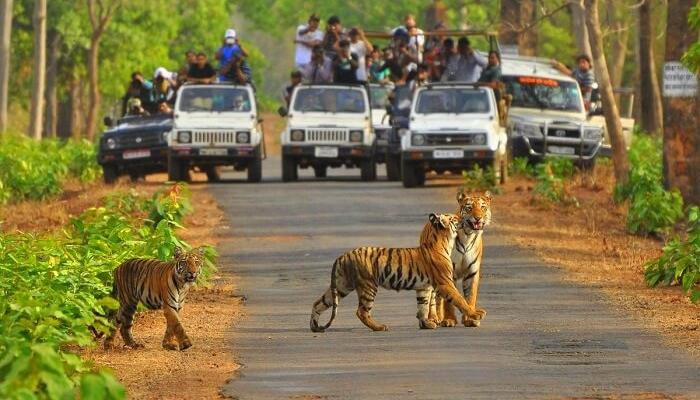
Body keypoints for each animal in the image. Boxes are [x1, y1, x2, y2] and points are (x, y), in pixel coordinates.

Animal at [308, 214, 484, 332]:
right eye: (454, 218)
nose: (463, 218)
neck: (444, 241)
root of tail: (343, 256)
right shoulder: (445, 282)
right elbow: (460, 299)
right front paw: (475, 314)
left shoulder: (424, 287)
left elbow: (423, 306)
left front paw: (426, 324)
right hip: (368, 286)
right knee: (361, 311)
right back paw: (379, 327)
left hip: (341, 285)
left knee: (318, 303)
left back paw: (314, 326)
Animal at [432, 191, 492, 328]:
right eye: (469, 207)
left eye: (483, 207)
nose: (478, 218)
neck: (468, 235)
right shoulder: (449, 272)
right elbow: (449, 300)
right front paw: (449, 320)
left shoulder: (472, 272)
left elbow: (470, 297)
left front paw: (470, 319)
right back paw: (437, 318)